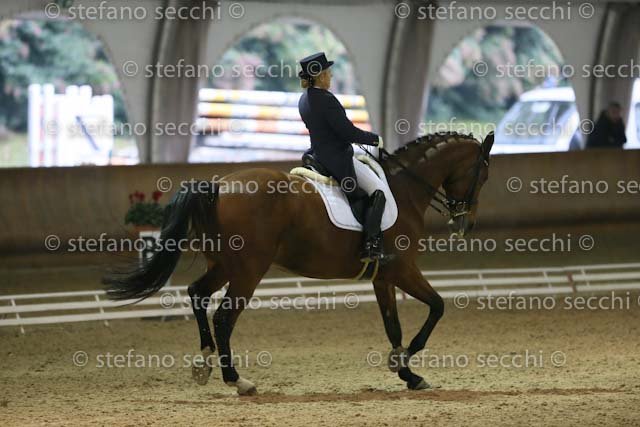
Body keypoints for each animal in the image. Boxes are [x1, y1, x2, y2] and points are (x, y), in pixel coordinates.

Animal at [104, 131, 494, 395]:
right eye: (483, 175)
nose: (465, 224)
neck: (404, 189)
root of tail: (218, 186)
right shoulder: (402, 269)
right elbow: (437, 307)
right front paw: (404, 362)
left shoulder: (382, 278)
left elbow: (393, 327)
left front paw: (407, 373)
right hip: (248, 271)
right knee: (224, 317)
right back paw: (238, 380)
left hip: (226, 266)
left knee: (197, 294)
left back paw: (203, 363)